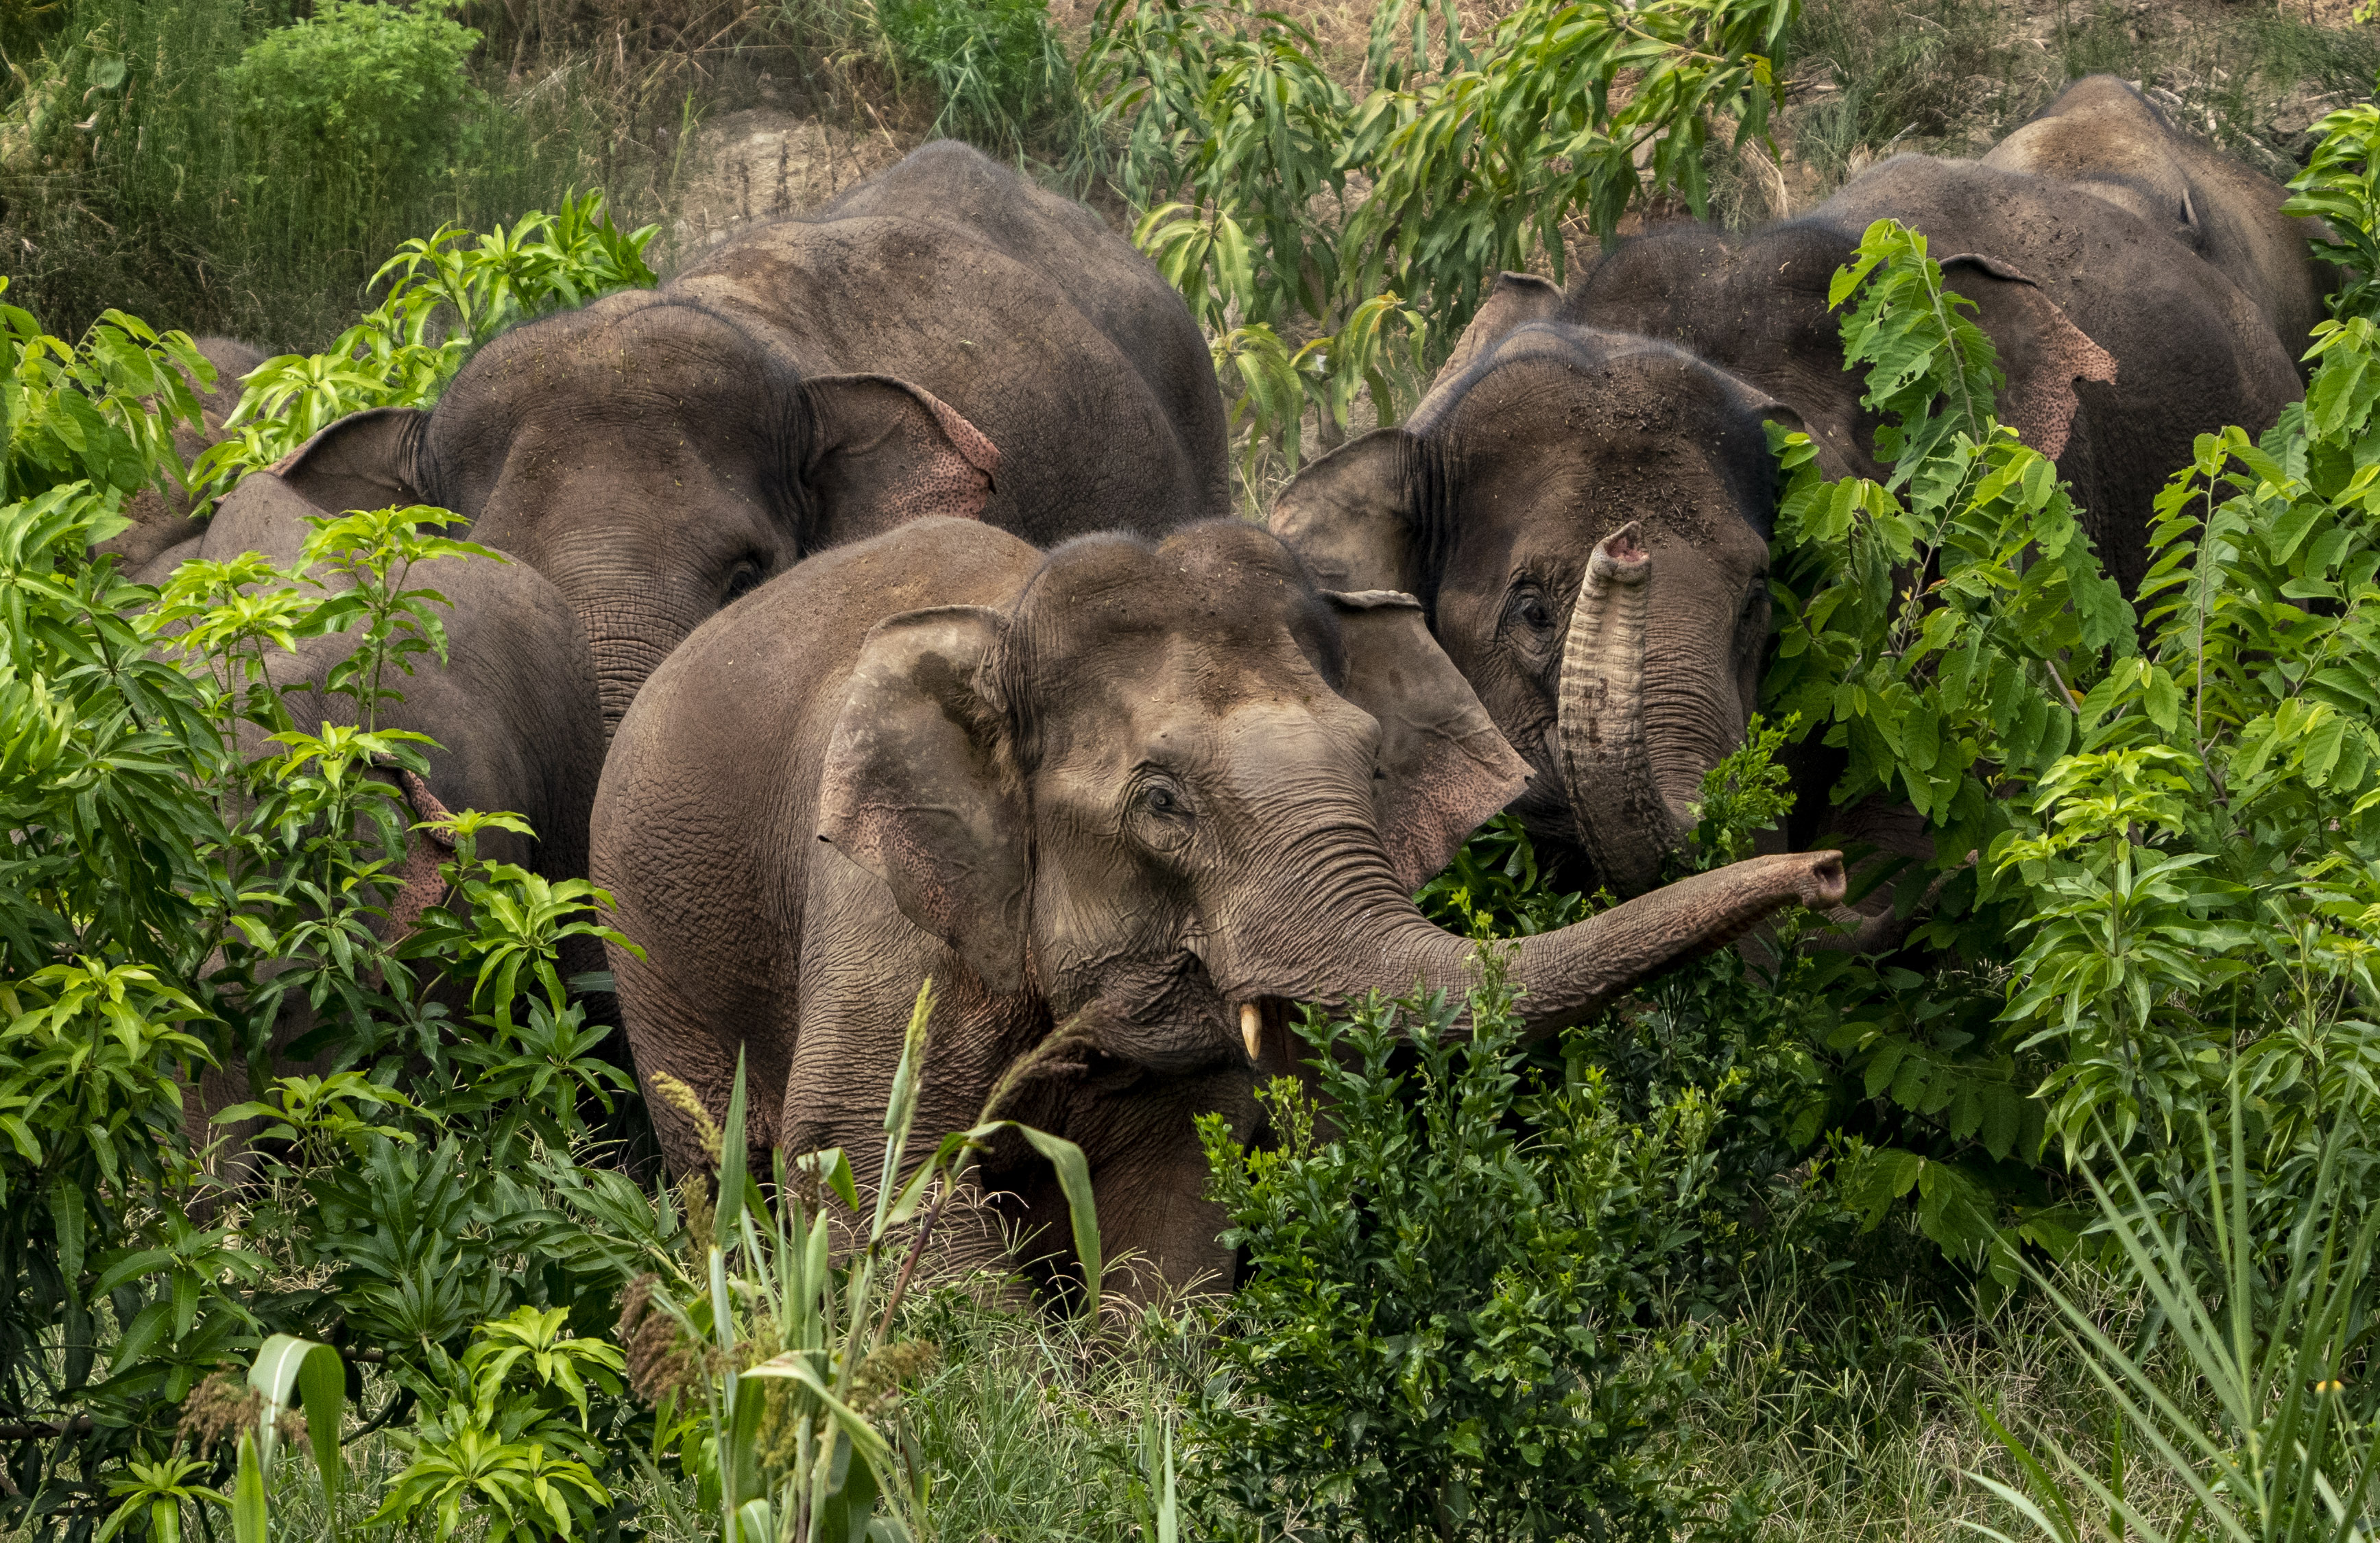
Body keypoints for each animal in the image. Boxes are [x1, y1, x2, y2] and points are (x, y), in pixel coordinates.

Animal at [585, 513, 1847, 1283]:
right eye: (1160, 801)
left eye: (1370, 764)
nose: (1826, 872)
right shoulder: (884, 916)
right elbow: (860, 1159)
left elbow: (1176, 1192)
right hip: (653, 950)